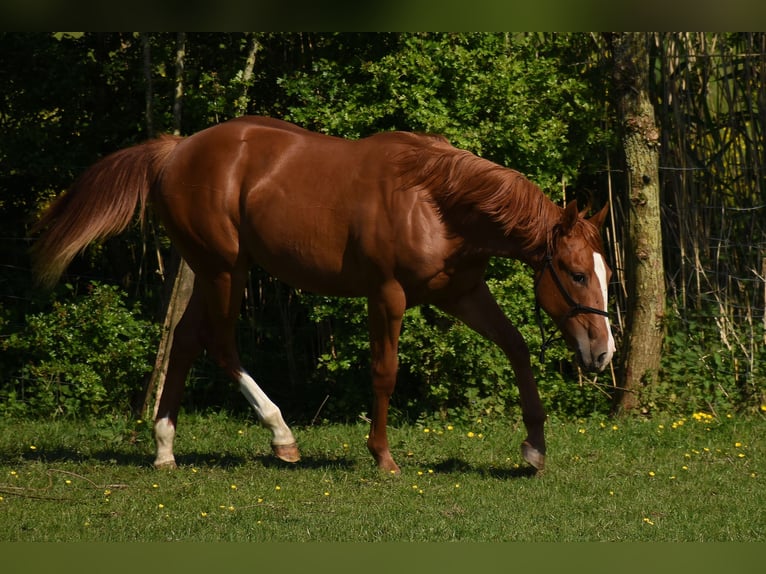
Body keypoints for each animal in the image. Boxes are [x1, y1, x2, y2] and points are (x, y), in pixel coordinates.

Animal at [30, 116, 615, 473]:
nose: (603, 353)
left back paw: (165, 447)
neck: (436, 201)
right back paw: (280, 435)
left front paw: (534, 450)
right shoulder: (386, 297)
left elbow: (516, 348)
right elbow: (384, 372)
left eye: (604, 273)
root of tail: (177, 151)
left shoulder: (462, 292)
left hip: (215, 270)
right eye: (574, 273)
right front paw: (382, 457)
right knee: (219, 343)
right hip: (224, 270)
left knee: (185, 339)